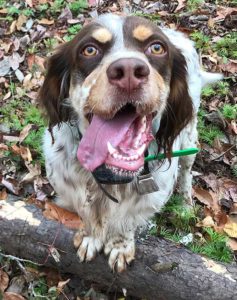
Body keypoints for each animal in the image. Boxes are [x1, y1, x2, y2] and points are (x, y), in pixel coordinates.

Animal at [39, 14, 223, 272]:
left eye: (157, 48)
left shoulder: (148, 200)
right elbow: (85, 214)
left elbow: (126, 222)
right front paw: (90, 236)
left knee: (187, 171)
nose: (128, 70)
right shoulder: (68, 188)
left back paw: (186, 204)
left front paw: (119, 246)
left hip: (189, 135)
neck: (111, 176)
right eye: (89, 49)